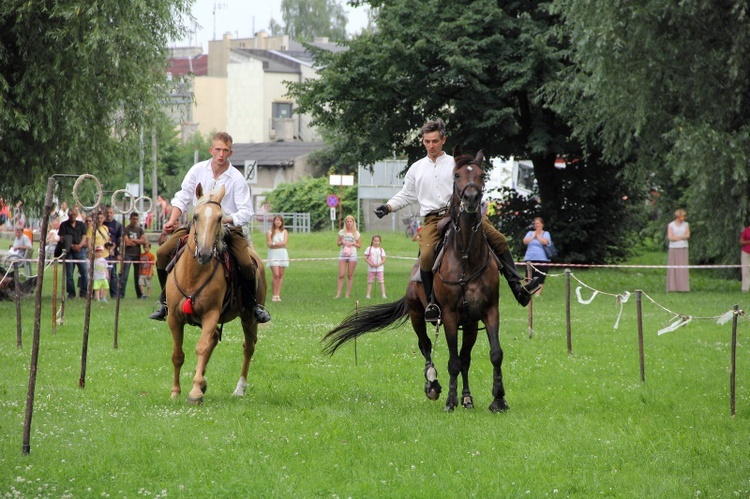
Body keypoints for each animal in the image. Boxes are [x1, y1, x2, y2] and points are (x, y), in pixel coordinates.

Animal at [167, 184, 268, 406]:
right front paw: (176, 391)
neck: (193, 275)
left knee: (248, 347)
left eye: (220, 218)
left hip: (248, 317)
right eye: (196, 216)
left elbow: (202, 347)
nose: (204, 253)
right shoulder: (173, 318)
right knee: (214, 339)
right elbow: (178, 354)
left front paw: (195, 392)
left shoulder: (211, 314)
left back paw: (239, 388)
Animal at [324, 149, 512, 414]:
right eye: (457, 175)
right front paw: (450, 400)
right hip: (417, 314)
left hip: (470, 323)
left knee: (465, 357)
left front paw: (498, 399)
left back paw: (467, 398)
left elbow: (493, 354)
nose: (472, 198)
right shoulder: (450, 316)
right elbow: (452, 361)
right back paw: (432, 383)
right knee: (426, 346)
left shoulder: (488, 311)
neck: (466, 256)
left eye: (481, 174)